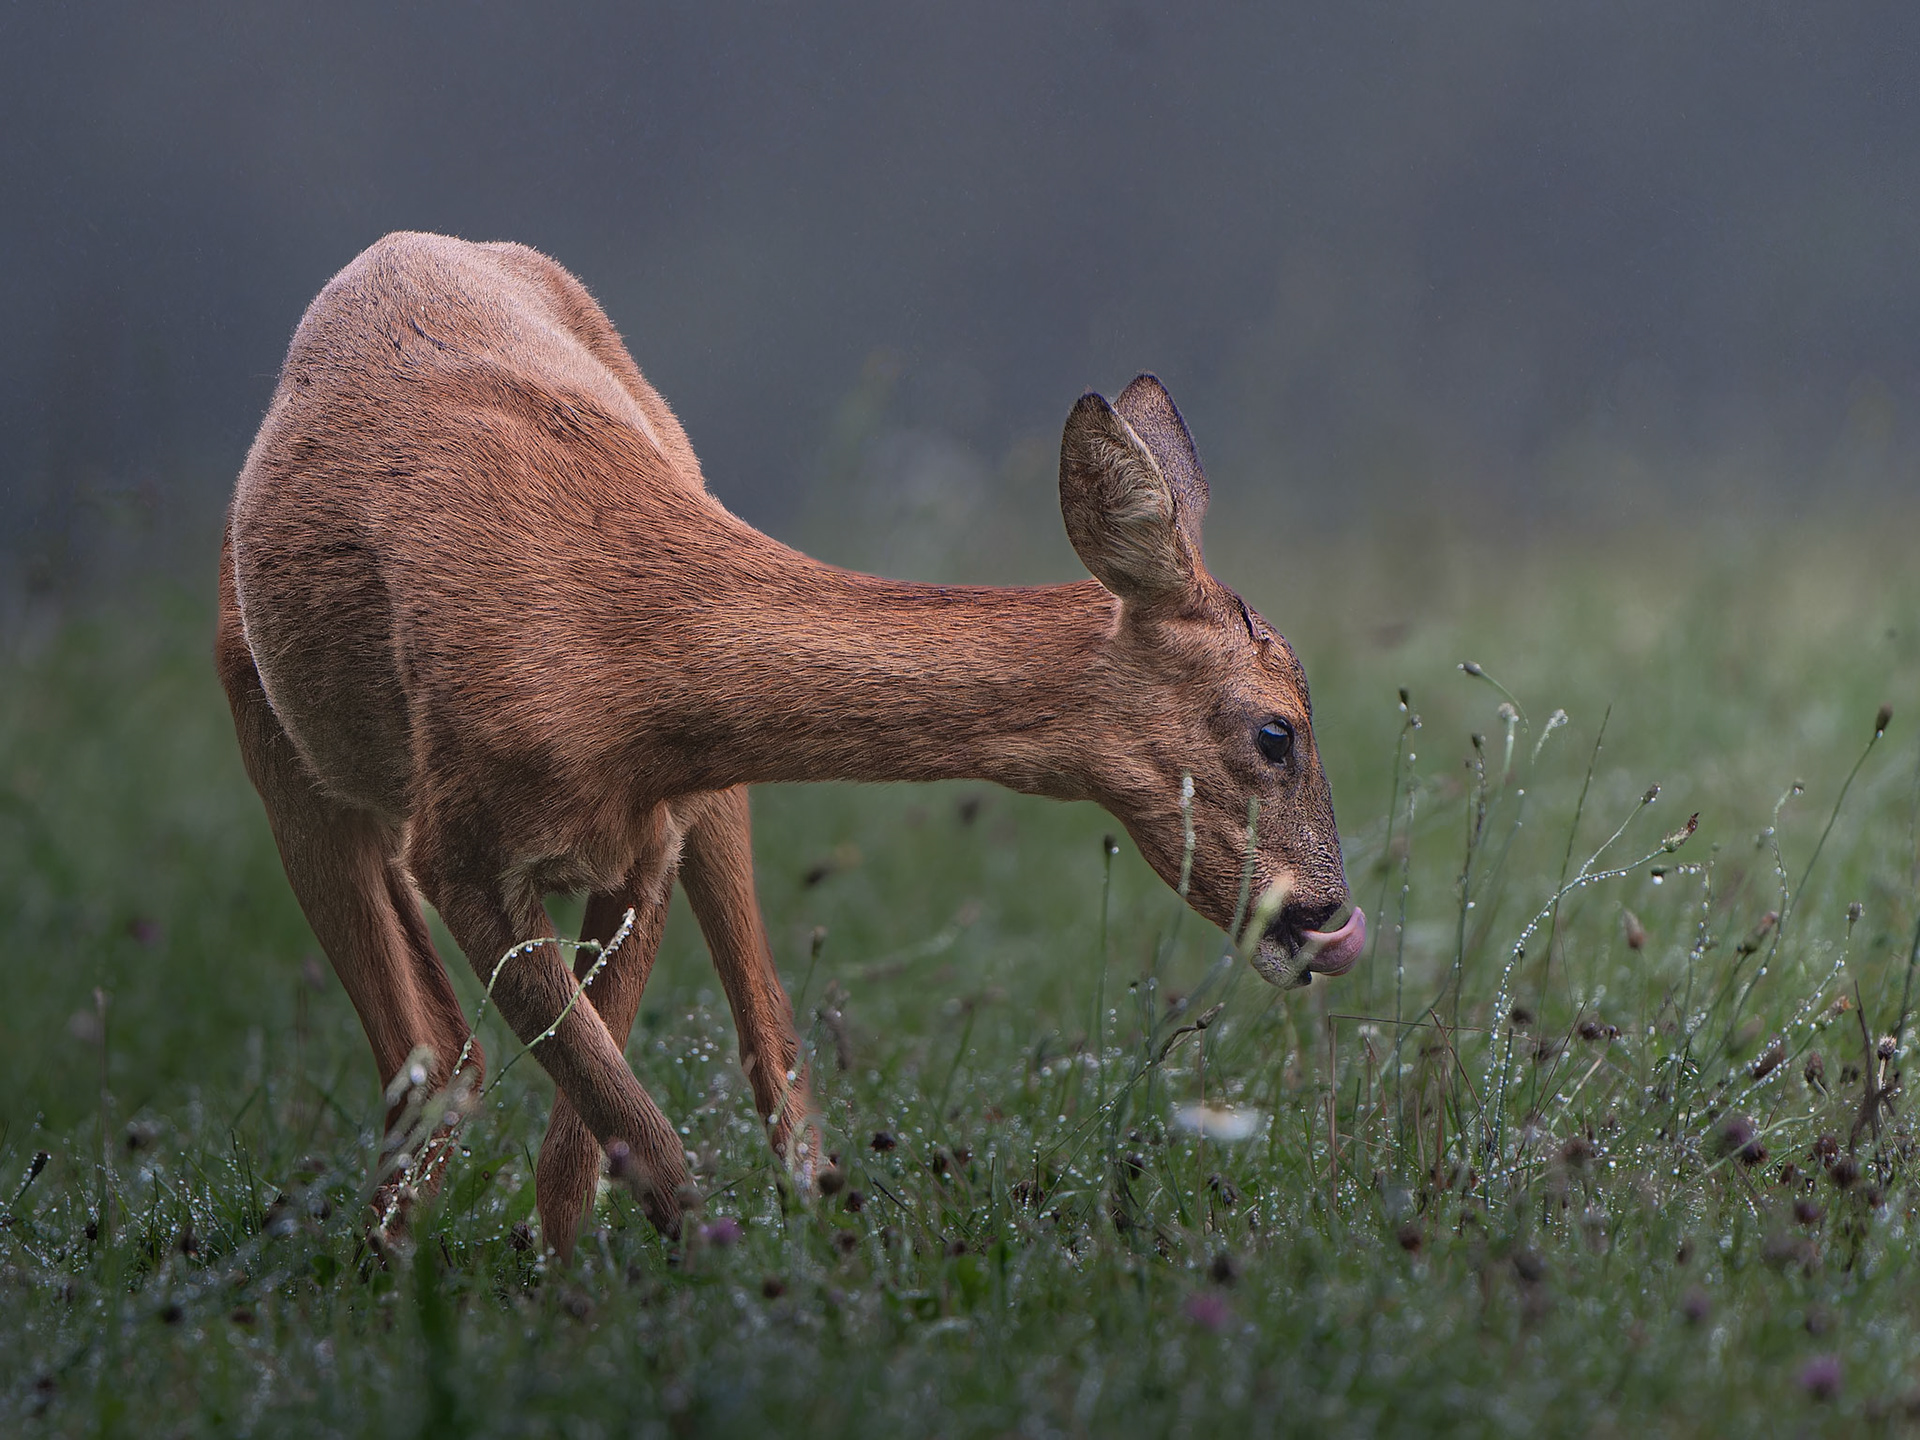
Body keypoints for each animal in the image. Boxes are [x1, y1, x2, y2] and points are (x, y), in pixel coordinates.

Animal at [216, 232, 1365, 1261]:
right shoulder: (457, 849)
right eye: (1278, 733)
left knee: (740, 1043)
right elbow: (629, 1126)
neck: (609, 650)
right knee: (430, 1056)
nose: (1329, 917)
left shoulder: (645, 842)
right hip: (279, 747)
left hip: (711, 800)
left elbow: (589, 1142)